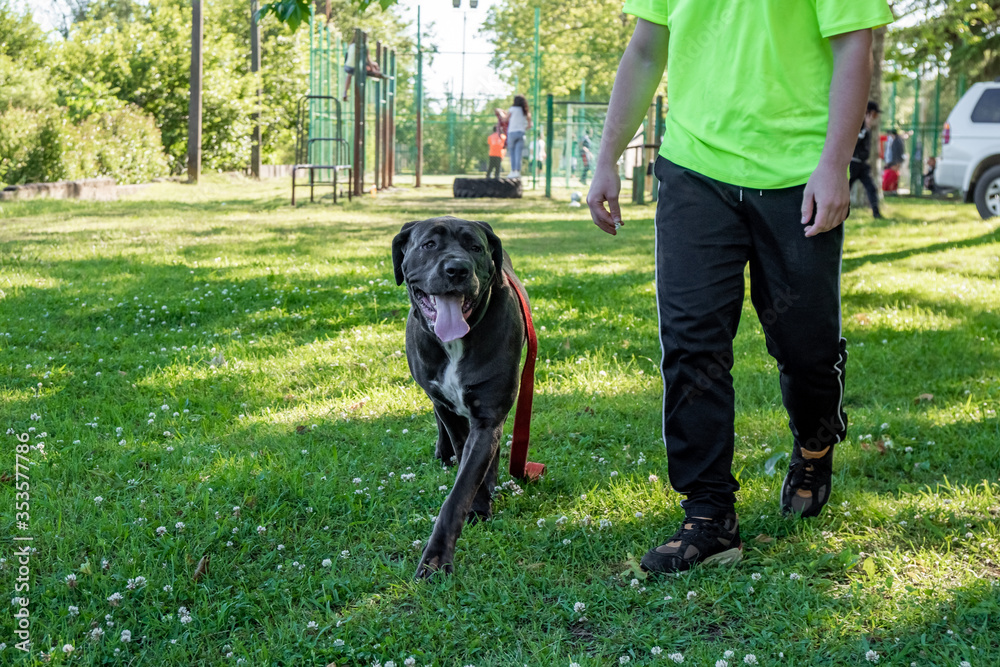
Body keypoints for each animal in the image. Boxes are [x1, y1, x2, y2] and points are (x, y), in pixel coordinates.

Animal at [392, 217, 532, 576]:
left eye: (475, 247)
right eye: (429, 245)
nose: (457, 269)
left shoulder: (488, 416)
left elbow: (463, 487)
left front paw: (437, 558)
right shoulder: (450, 409)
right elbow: (458, 446)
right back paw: (444, 453)